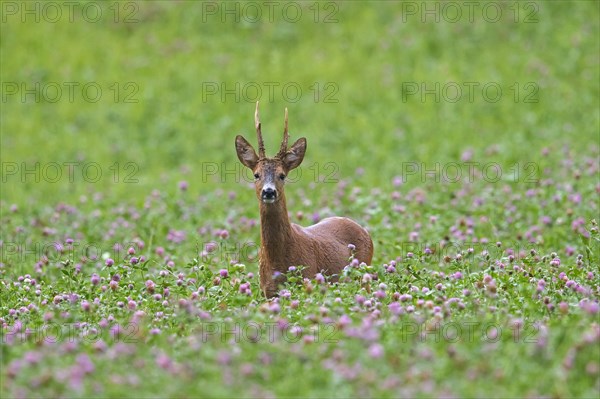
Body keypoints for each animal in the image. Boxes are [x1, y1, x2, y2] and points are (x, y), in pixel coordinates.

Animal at [236, 101, 372, 298]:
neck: (278, 261)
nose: (268, 192)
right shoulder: (267, 292)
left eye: (282, 175)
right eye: (256, 174)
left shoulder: (307, 280)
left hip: (364, 275)